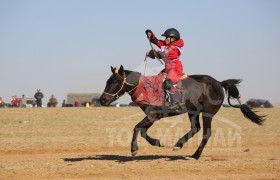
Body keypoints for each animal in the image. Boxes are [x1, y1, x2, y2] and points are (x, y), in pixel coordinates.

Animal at [99, 65, 266, 160]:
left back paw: (195, 156)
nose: (102, 100)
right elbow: (142, 131)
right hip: (193, 111)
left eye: (115, 81)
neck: (146, 88)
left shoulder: (153, 115)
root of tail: (219, 83)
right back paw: (178, 144)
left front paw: (134, 150)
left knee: (206, 133)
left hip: (208, 112)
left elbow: (136, 128)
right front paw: (158, 142)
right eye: (107, 81)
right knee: (195, 128)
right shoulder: (153, 116)